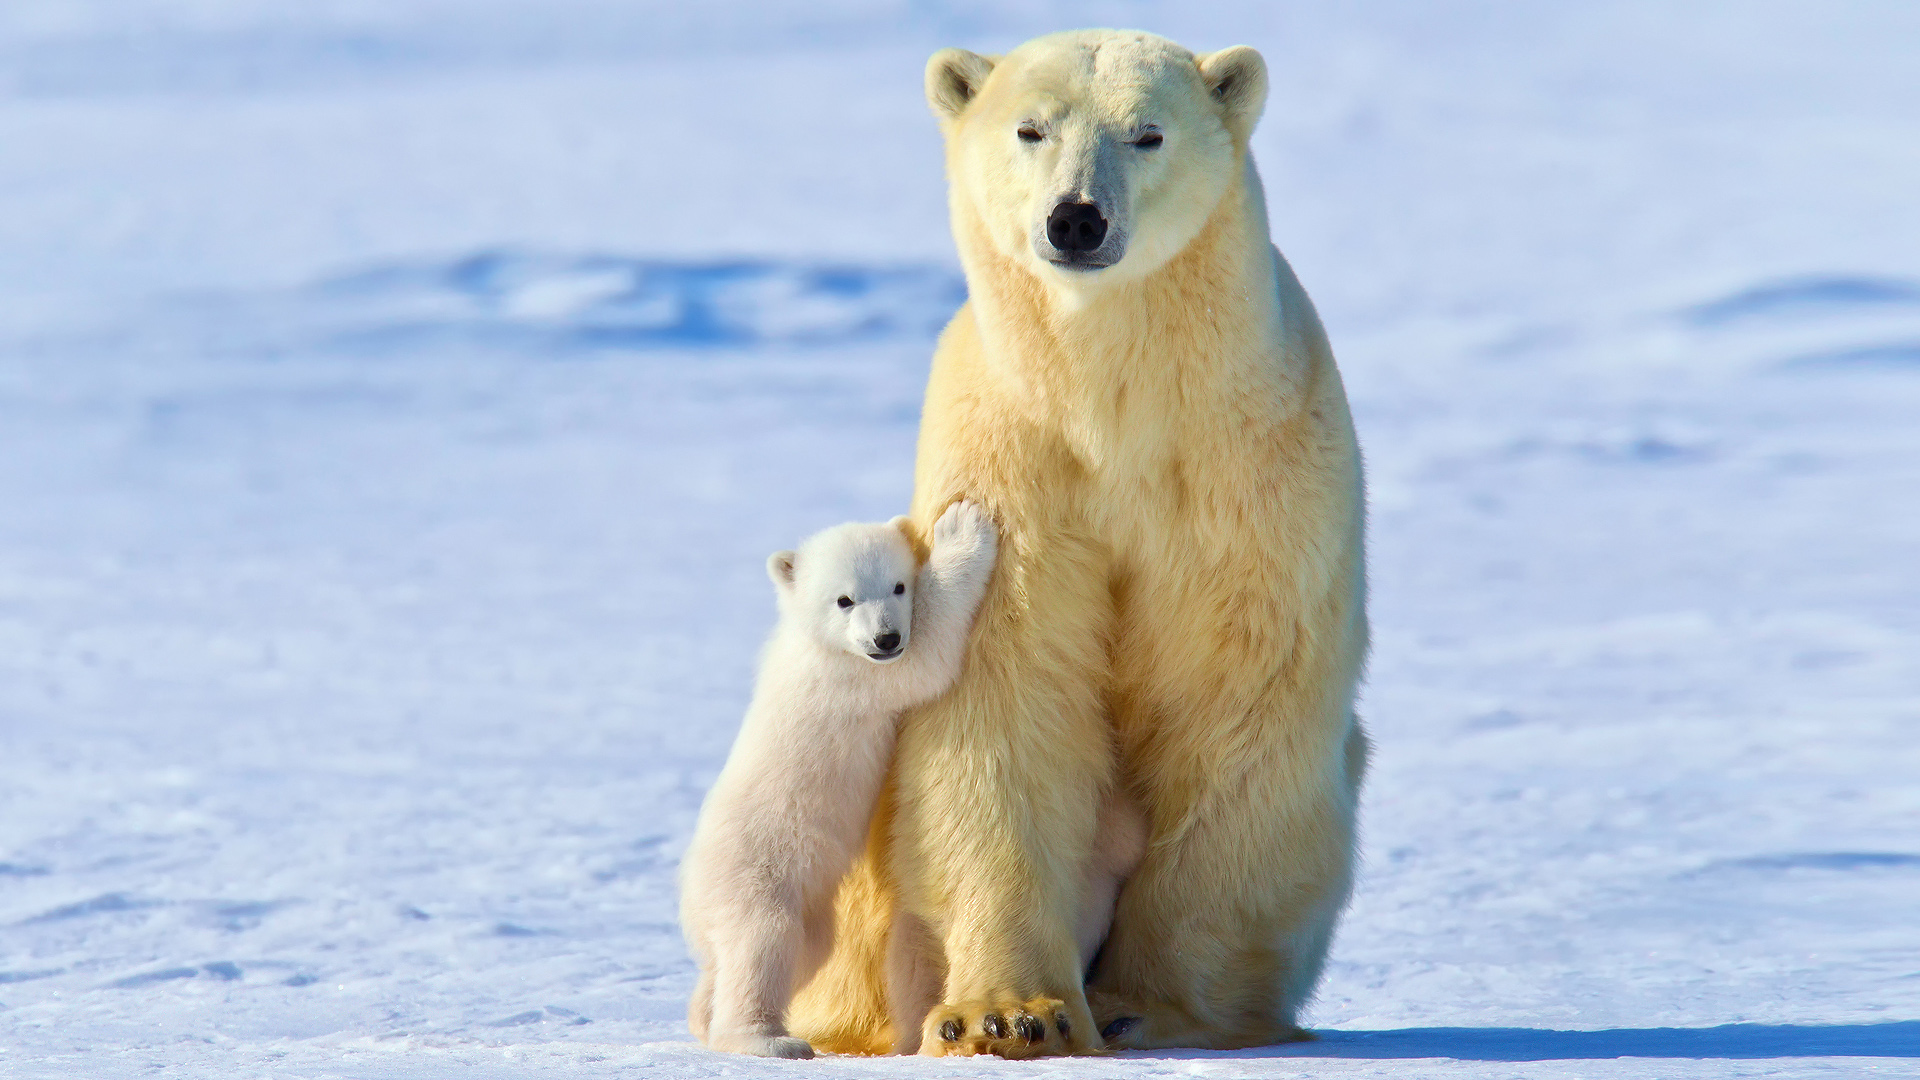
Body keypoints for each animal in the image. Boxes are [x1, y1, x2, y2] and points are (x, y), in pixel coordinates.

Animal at [679, 503, 1006, 1053]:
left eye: (897, 585)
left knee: (794, 953)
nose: (886, 638)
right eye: (845, 599)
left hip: (805, 906)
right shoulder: (852, 679)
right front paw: (960, 529)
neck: (815, 643)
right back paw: (768, 1040)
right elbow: (926, 656)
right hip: (756, 870)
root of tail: (690, 893)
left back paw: (704, 1016)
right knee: (762, 941)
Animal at [787, 27, 1374, 1053]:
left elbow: (1237, 697)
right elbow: (1005, 698)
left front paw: (1151, 1004)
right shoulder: (1013, 466)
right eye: (1032, 127)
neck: (1114, 406)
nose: (1076, 220)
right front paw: (1009, 1014)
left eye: (1147, 132)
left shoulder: (1249, 472)